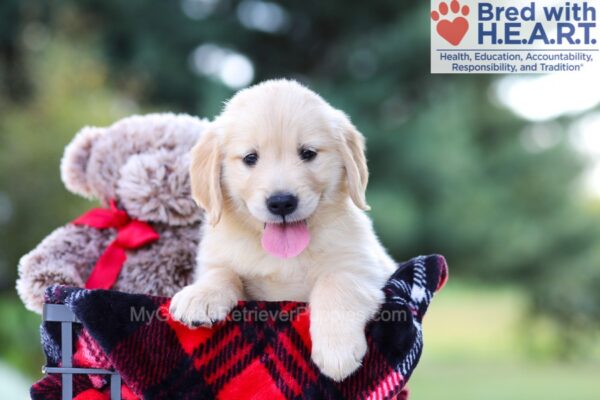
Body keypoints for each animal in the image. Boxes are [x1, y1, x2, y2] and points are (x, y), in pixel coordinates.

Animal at [169, 79, 398, 382]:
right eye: (250, 158)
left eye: (308, 153)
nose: (281, 202)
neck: (282, 258)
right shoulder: (219, 263)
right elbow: (223, 272)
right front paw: (200, 295)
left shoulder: (366, 267)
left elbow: (336, 282)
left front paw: (336, 350)